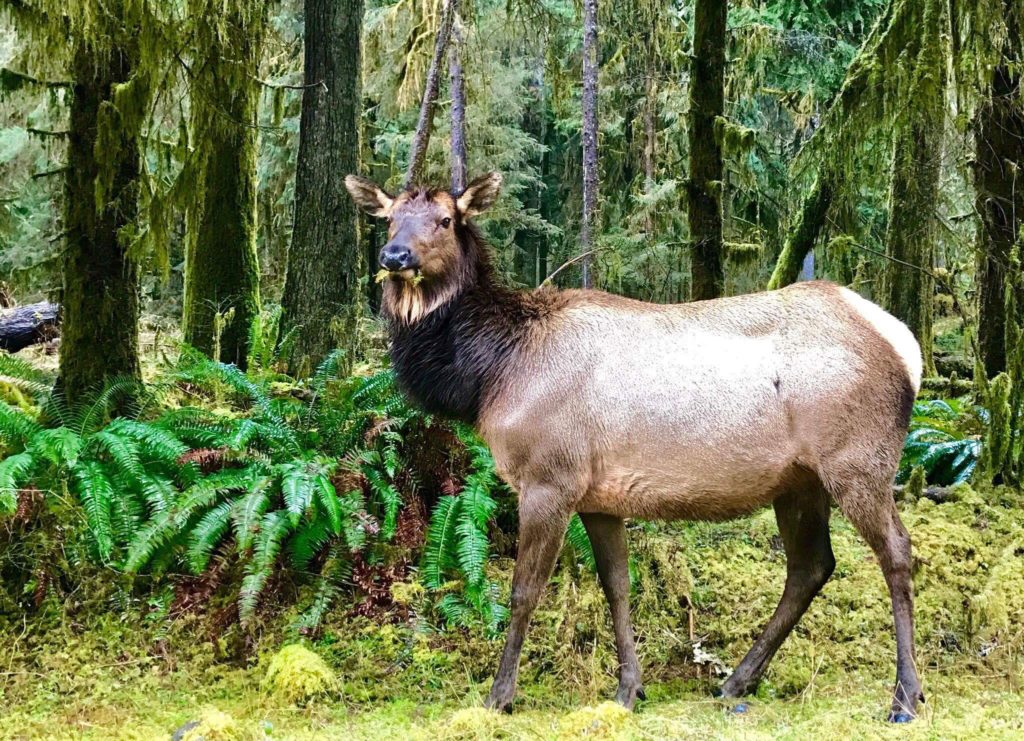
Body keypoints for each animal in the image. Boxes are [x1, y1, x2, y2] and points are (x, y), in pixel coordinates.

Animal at [346, 170, 929, 720]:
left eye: (446, 220)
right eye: (389, 218)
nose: (394, 256)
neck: (492, 376)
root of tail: (908, 347)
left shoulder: (549, 477)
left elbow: (523, 590)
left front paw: (499, 695)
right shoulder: (599, 496)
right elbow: (618, 585)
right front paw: (629, 688)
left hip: (858, 460)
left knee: (897, 552)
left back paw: (905, 696)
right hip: (799, 480)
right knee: (811, 566)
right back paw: (737, 680)